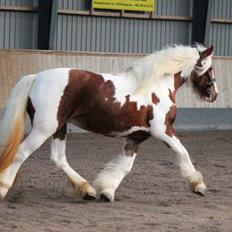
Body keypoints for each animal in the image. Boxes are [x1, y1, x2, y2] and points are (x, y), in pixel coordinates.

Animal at [0, 43, 218, 201]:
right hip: (44, 128)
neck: (156, 85)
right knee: (21, 153)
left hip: (59, 127)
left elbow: (125, 166)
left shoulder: (136, 137)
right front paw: (198, 185)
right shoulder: (163, 131)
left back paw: (87, 190)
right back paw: (3, 187)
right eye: (209, 68)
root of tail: (36, 77)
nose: (214, 94)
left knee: (58, 158)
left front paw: (106, 191)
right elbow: (183, 152)